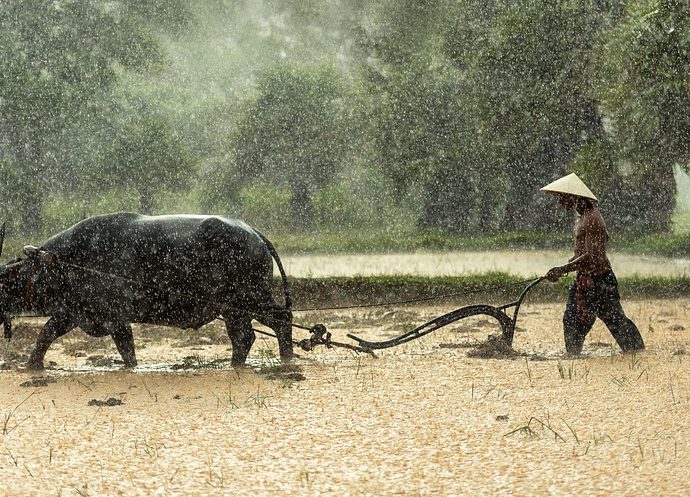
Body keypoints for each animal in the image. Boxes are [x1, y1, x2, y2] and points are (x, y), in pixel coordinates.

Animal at [0, 211, 292, 370]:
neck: (62, 263)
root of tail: (253, 233)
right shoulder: (73, 313)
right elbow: (45, 335)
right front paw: (31, 366)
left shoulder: (114, 318)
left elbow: (126, 350)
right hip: (234, 310)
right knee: (244, 337)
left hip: (251, 298)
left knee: (281, 319)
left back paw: (286, 358)